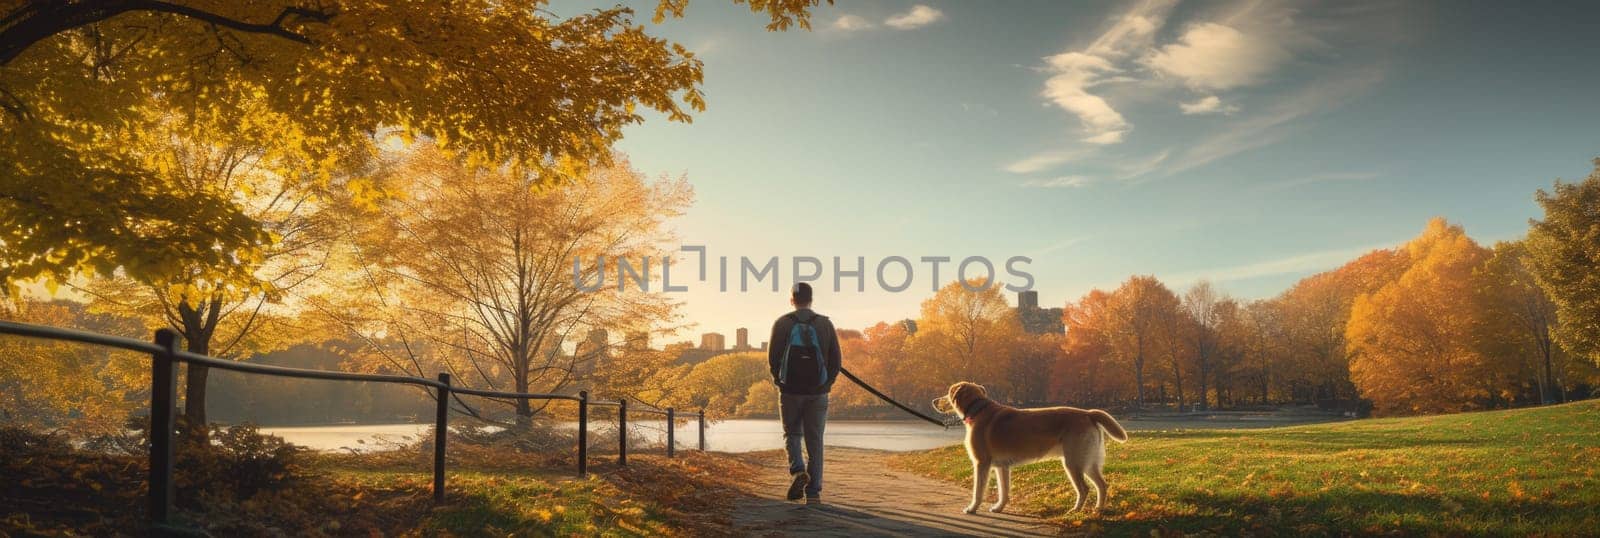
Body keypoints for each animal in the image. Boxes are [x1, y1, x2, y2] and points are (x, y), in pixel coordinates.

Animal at [934, 381, 1132, 515]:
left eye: (947, 393)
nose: (934, 401)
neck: (978, 410)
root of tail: (1087, 413)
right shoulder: (1002, 467)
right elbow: (1004, 491)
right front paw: (999, 507)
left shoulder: (981, 463)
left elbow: (978, 491)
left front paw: (972, 508)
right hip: (1088, 462)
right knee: (1102, 485)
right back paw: (1098, 510)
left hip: (1073, 463)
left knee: (1084, 489)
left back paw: (1075, 511)